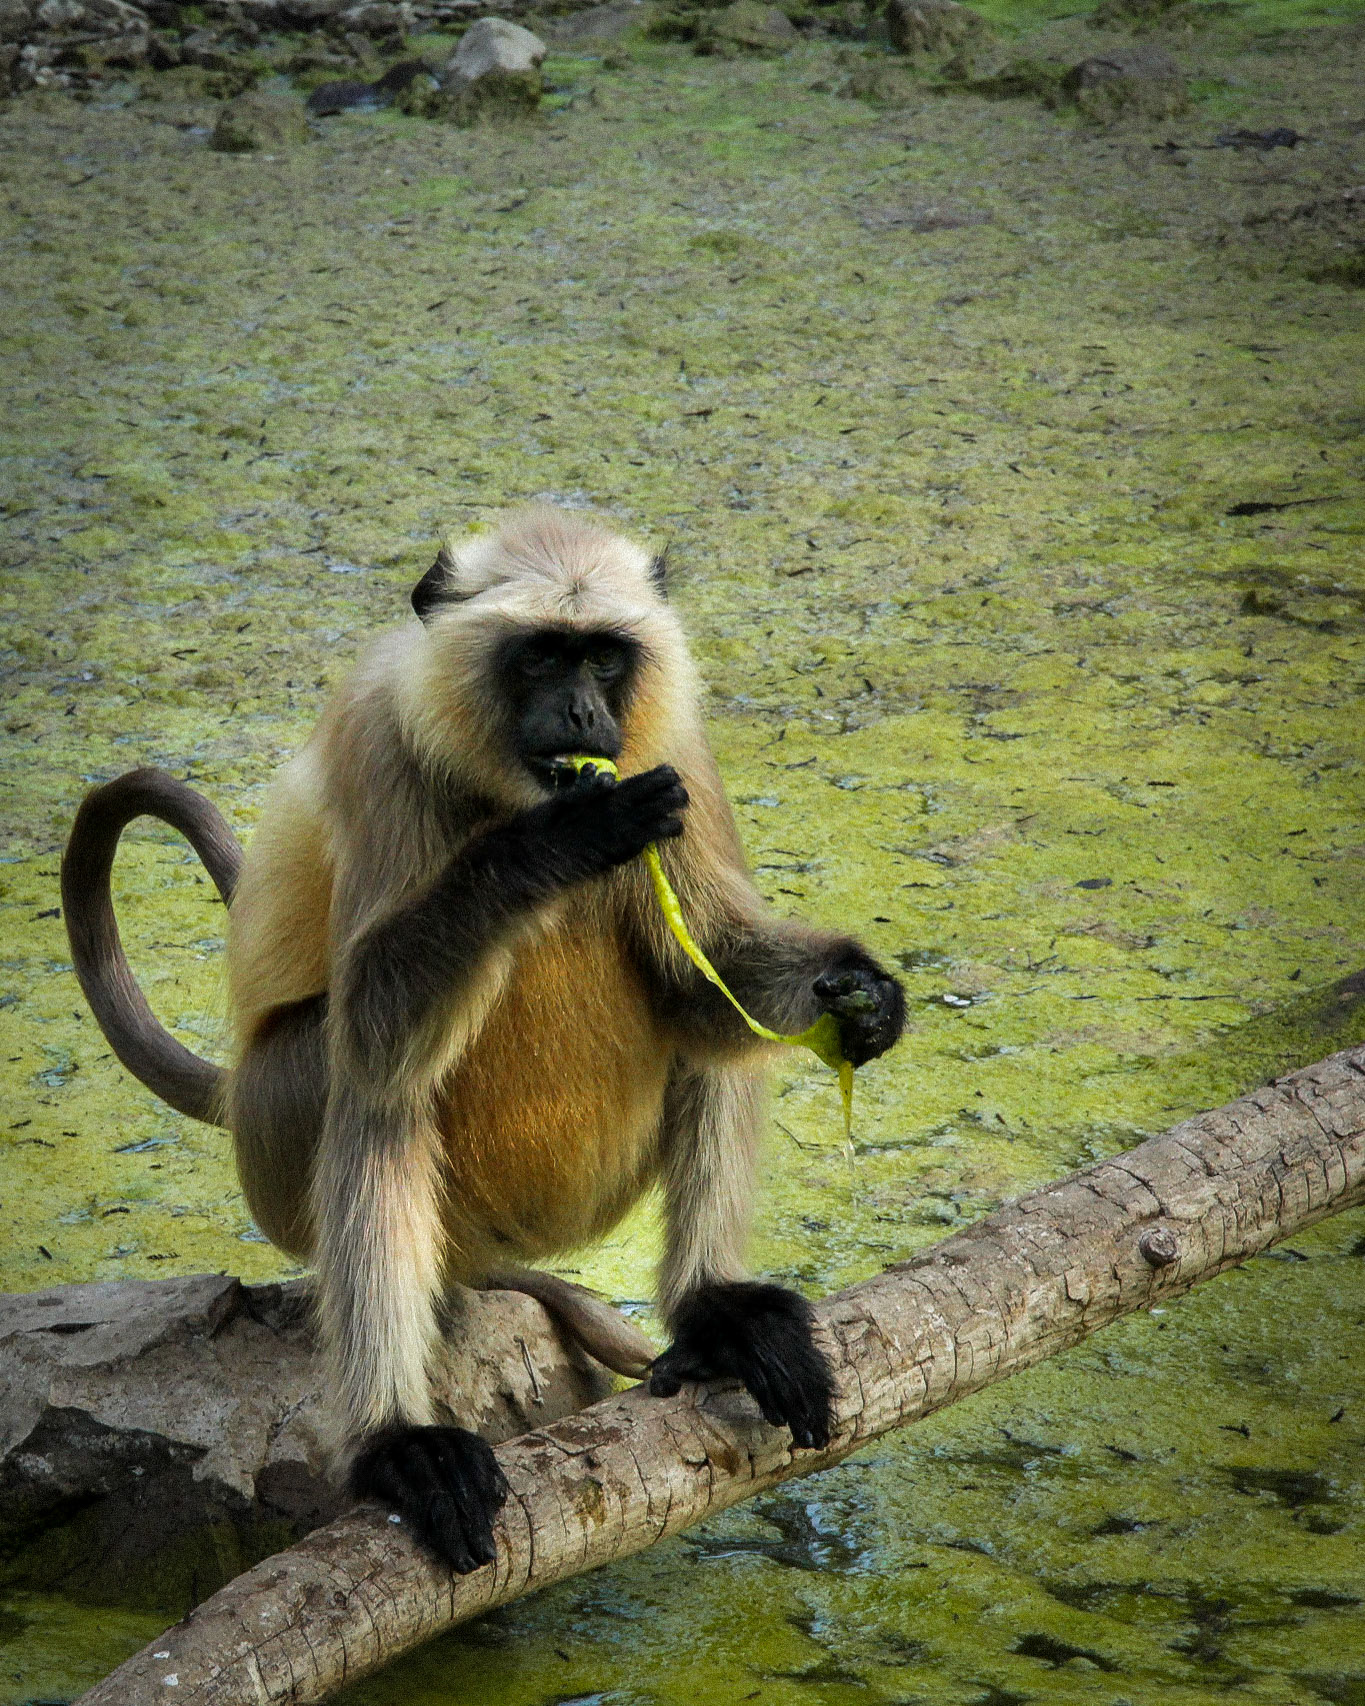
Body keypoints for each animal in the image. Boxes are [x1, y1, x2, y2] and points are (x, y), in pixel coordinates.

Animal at [63, 506, 906, 1575]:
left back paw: (714, 1312)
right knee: (367, 1086)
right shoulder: (381, 743)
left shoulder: (670, 743)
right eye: (541, 655)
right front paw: (556, 844)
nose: (583, 717)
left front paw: (860, 993)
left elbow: (706, 971)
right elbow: (371, 1026)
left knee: (699, 1022)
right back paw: (398, 1444)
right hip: (290, 1156)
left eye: (602, 659)